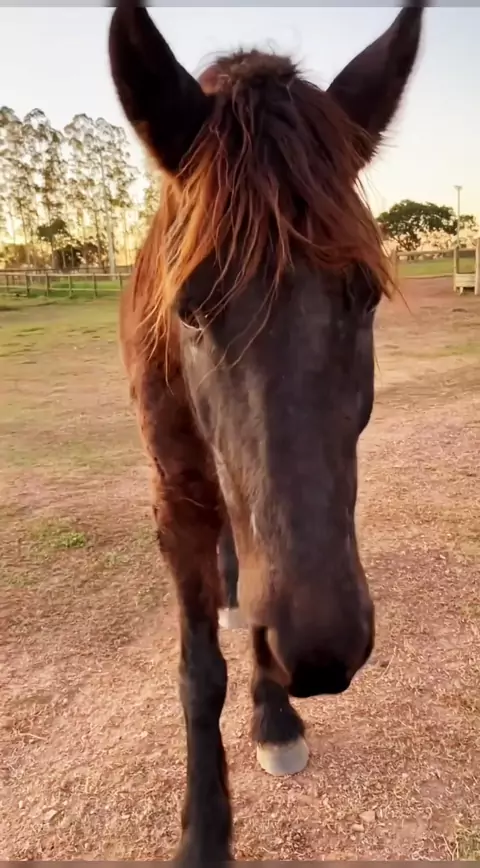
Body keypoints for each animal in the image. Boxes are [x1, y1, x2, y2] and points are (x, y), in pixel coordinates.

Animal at [107, 1, 427, 863]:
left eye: (364, 294)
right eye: (189, 307)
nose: (322, 652)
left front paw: (276, 716)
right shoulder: (175, 493)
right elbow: (197, 673)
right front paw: (204, 834)